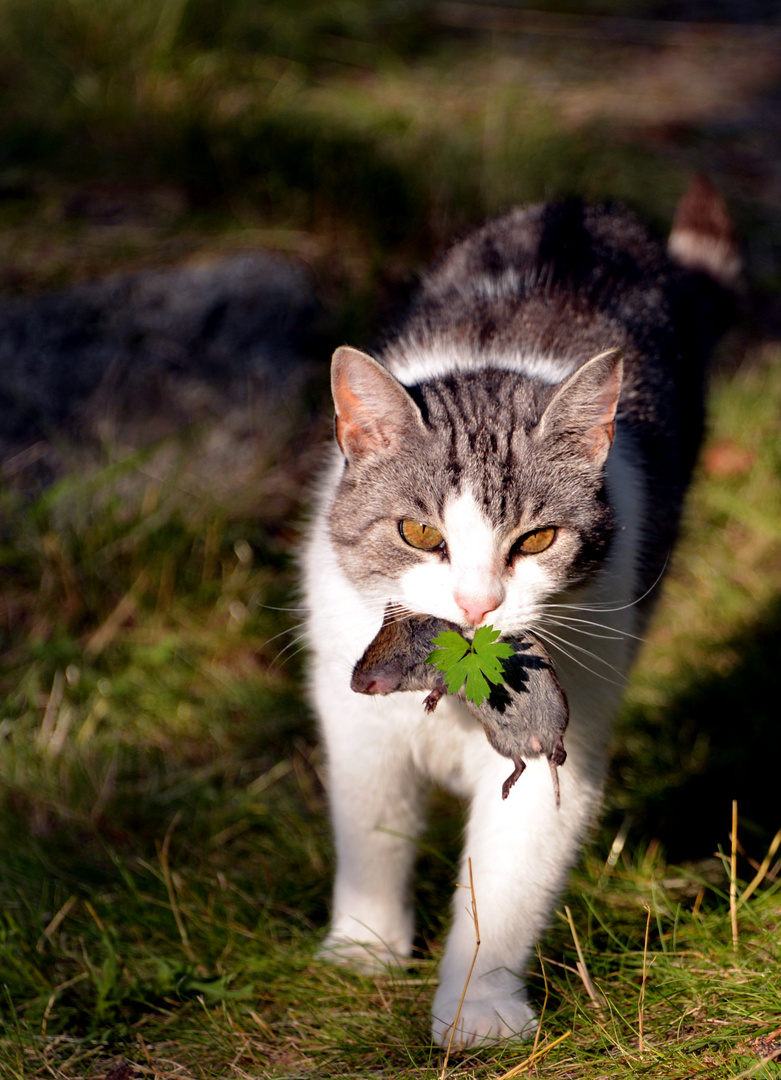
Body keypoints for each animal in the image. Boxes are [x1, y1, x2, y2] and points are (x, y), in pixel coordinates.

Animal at [304, 177, 738, 1045]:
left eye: (535, 539)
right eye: (418, 533)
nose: (476, 603)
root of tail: (582, 208)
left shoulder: (557, 743)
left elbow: (503, 886)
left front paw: (478, 1010)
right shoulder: (357, 721)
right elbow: (371, 834)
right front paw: (363, 948)